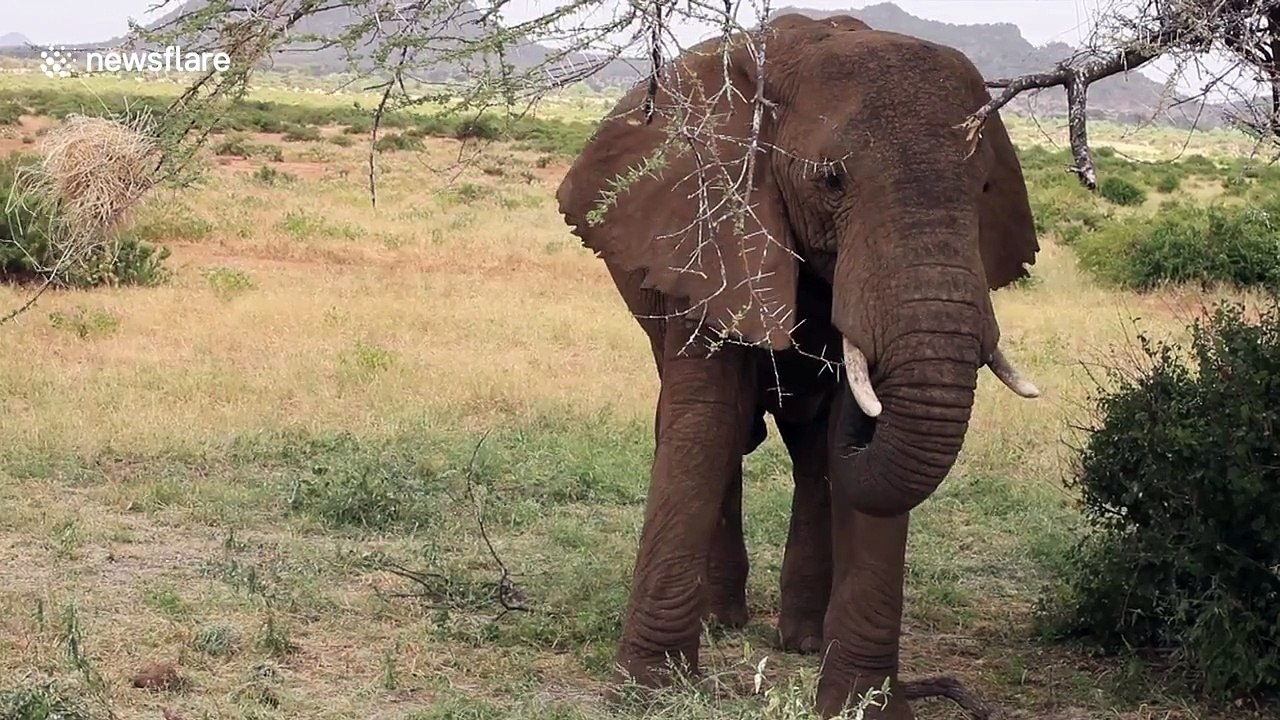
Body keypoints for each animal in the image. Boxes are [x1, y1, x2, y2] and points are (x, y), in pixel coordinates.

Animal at [555, 13, 1041, 720]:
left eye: (983, 189)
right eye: (831, 180)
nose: (864, 382)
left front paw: (863, 705)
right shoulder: (708, 231)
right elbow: (706, 422)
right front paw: (650, 689)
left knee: (814, 457)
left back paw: (803, 640)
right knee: (718, 430)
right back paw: (723, 622)